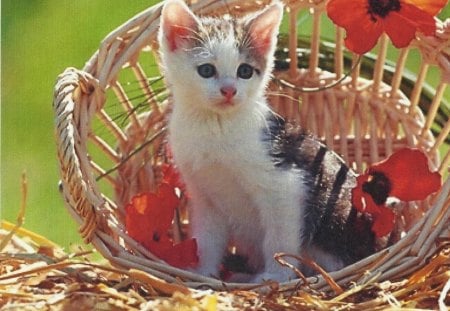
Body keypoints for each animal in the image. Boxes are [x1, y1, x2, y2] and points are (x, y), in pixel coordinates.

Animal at [158, 0, 376, 282]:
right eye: (206, 70)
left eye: (245, 71)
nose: (229, 90)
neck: (216, 125)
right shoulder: (204, 195)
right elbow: (207, 237)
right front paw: (203, 271)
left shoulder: (286, 184)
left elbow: (280, 238)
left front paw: (276, 276)